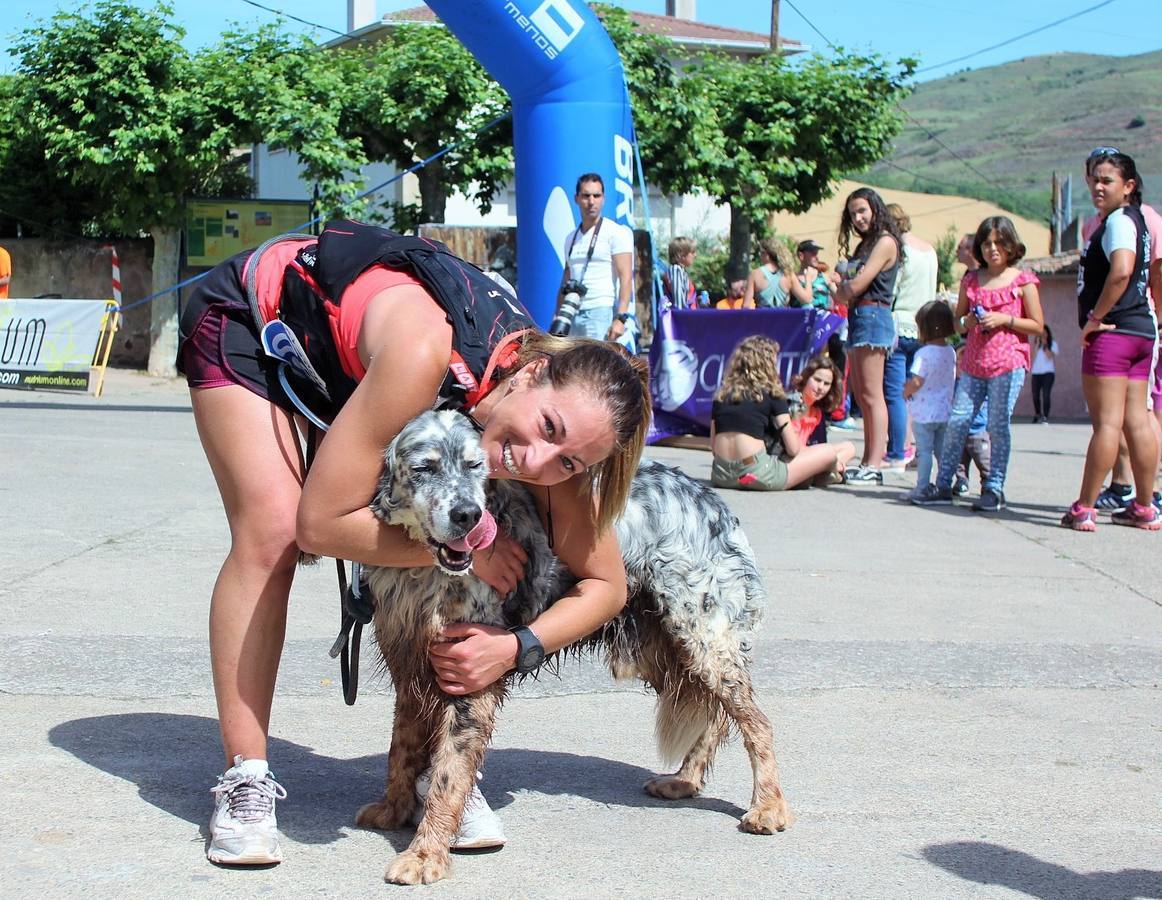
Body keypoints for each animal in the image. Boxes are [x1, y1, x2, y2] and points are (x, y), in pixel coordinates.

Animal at [353, 411, 790, 887]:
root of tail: (714, 503)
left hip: (702, 640)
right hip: (662, 648)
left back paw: (768, 806)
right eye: (424, 468)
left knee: (758, 723)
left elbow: (448, 775)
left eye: (475, 466)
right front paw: (394, 809)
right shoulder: (409, 659)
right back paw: (685, 781)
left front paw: (425, 853)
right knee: (714, 717)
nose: (468, 515)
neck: (423, 573)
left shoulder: (468, 669)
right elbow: (402, 748)